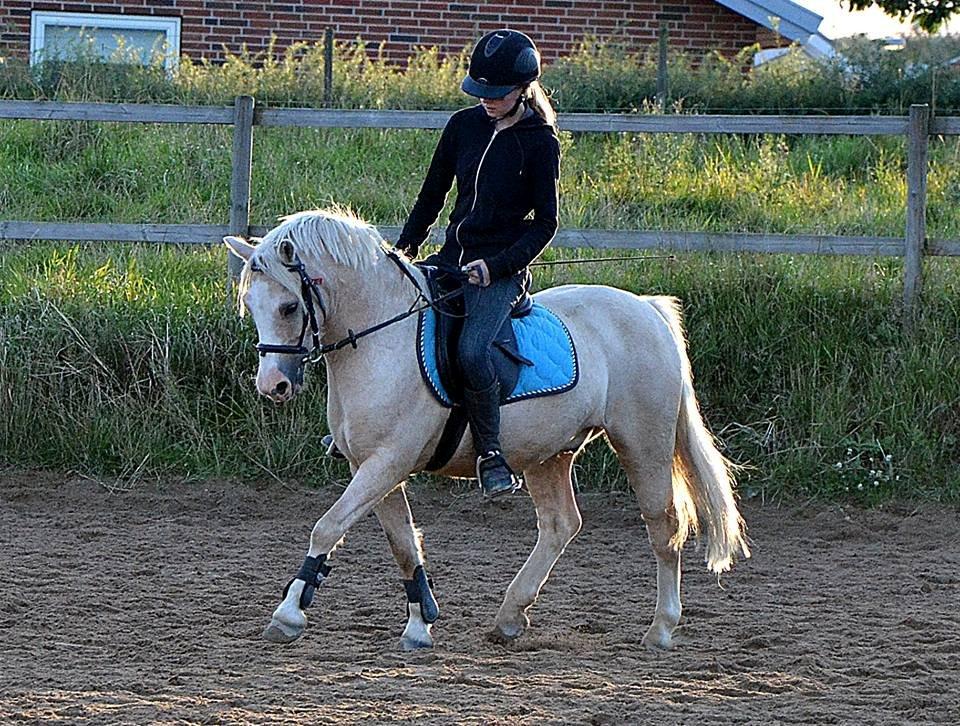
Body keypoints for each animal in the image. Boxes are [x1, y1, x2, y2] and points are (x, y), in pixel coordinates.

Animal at [224, 208, 750, 651]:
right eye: (250, 302)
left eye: (289, 307)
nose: (272, 385)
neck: (379, 340)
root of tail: (646, 309)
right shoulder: (371, 465)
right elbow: (402, 543)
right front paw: (420, 624)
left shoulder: (388, 461)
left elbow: (327, 526)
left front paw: (289, 614)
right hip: (548, 453)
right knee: (561, 525)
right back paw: (510, 617)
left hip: (642, 443)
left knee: (664, 526)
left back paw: (661, 628)